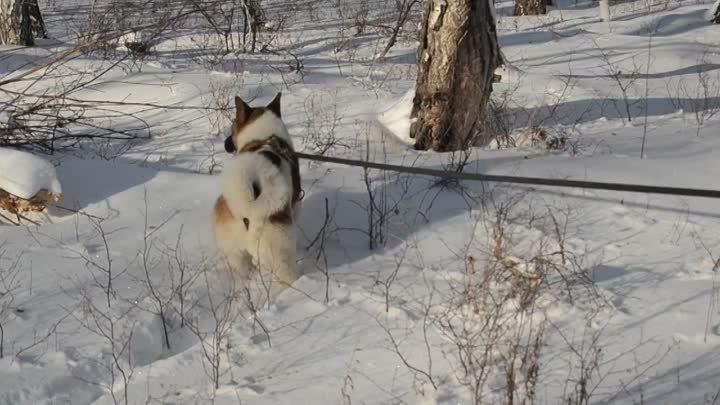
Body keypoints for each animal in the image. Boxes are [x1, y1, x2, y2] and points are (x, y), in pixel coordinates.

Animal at [214, 93, 304, 290]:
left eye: (232, 125)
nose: (225, 144)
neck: (265, 138)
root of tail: (249, 214)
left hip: (235, 253)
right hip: (280, 252)